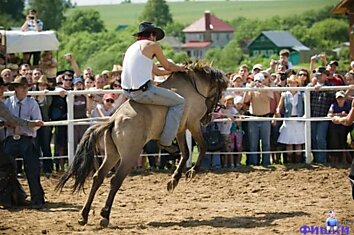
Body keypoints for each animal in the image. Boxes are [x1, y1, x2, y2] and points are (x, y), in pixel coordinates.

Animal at [54, 61, 228, 228]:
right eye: (219, 94)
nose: (207, 119)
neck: (193, 86)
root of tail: (113, 120)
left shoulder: (180, 128)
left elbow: (185, 153)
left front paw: (173, 180)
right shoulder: (192, 123)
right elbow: (203, 146)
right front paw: (191, 172)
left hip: (112, 155)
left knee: (98, 177)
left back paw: (84, 215)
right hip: (129, 156)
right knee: (115, 180)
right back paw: (104, 215)